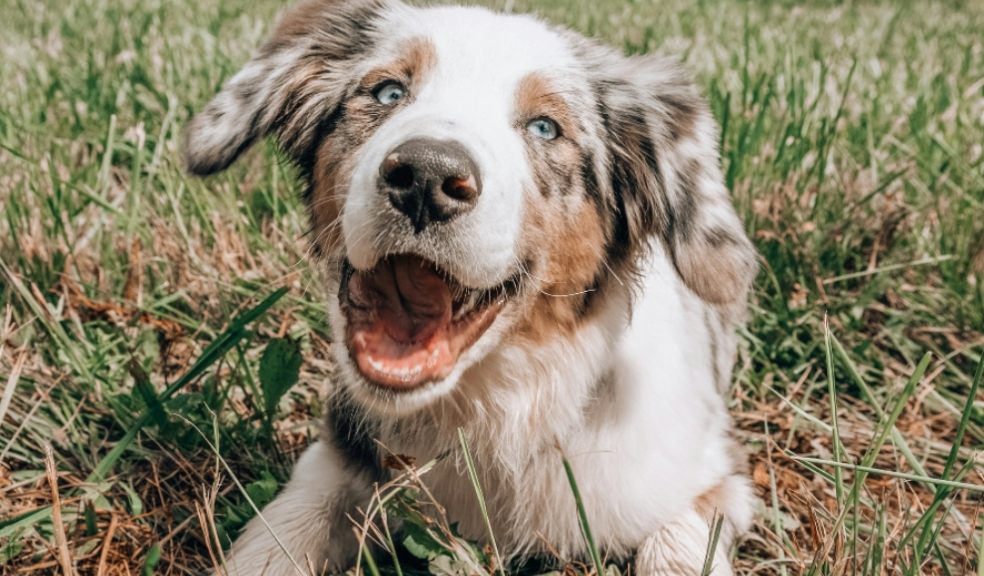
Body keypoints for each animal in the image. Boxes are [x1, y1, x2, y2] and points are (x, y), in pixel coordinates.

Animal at [184, 0, 756, 572]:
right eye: (388, 92)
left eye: (545, 127)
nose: (425, 178)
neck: (490, 409)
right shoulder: (337, 458)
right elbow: (280, 533)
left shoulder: (707, 475)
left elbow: (676, 540)